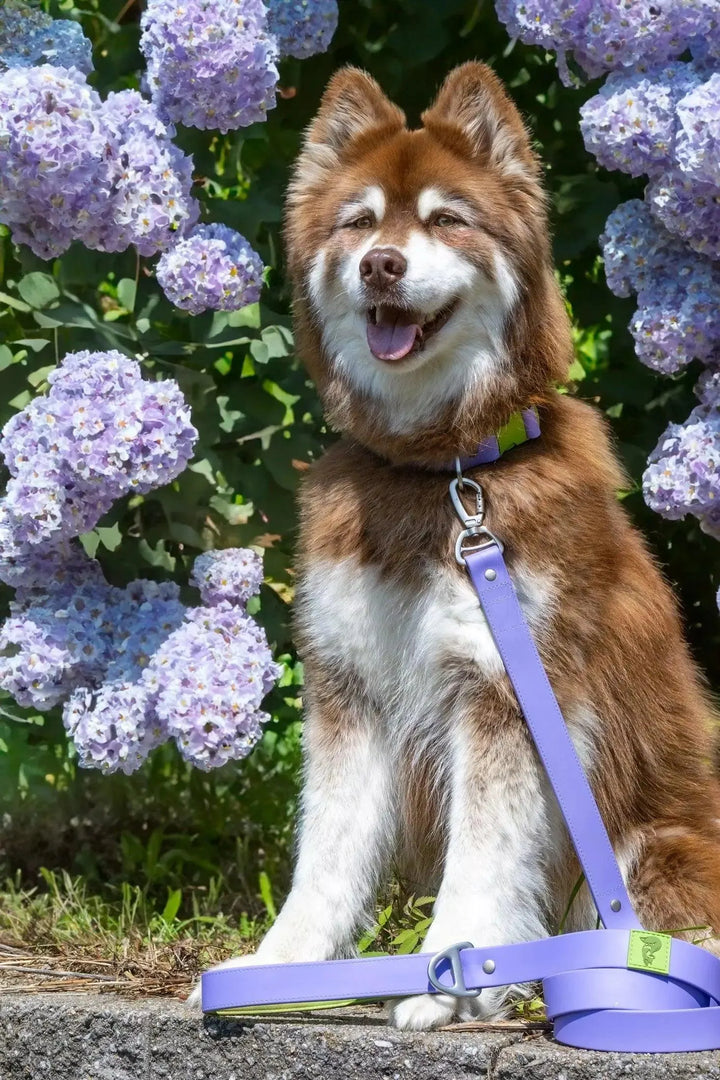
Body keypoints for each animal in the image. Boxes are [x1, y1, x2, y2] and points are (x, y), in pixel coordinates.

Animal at [198, 65, 720, 1028]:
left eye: (446, 219)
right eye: (359, 222)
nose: (382, 263)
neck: (435, 472)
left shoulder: (504, 696)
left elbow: (482, 854)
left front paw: (452, 971)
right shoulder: (350, 691)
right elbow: (325, 856)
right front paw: (282, 968)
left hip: (656, 849)